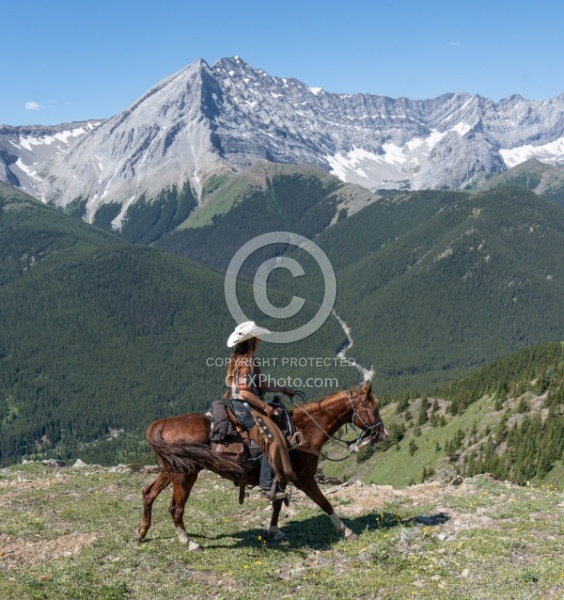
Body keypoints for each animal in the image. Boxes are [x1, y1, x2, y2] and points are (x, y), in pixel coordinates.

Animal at [138, 382, 388, 552]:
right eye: (374, 409)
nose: (383, 434)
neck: (303, 431)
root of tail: (162, 424)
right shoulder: (304, 477)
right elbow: (325, 503)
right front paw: (347, 531)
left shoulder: (282, 476)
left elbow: (277, 503)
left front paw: (275, 531)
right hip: (185, 475)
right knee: (175, 508)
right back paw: (189, 542)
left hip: (170, 471)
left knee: (148, 492)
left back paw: (142, 532)